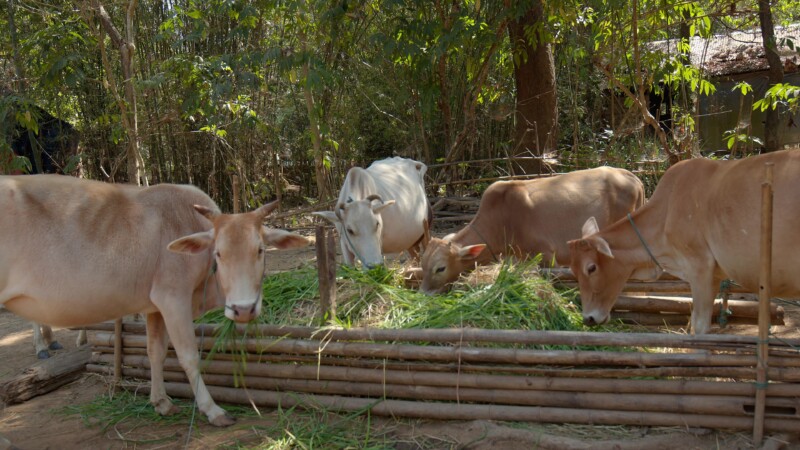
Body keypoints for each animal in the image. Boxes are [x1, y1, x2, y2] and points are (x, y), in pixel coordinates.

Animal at [0, 174, 309, 425]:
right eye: (219, 253)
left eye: (260, 250)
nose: (243, 310)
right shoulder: (173, 298)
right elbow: (188, 356)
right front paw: (213, 410)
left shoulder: (154, 308)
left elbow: (155, 352)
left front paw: (161, 402)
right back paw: (43, 345)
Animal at [420, 167, 645, 294]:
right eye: (422, 265)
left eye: (440, 268)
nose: (424, 293)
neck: (502, 219)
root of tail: (633, 177)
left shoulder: (547, 255)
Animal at [568, 150, 800, 335]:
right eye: (574, 271)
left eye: (591, 268)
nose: (588, 318)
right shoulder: (715, 275)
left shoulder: (699, 266)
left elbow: (699, 326)